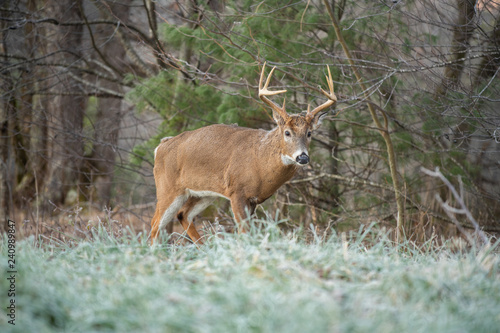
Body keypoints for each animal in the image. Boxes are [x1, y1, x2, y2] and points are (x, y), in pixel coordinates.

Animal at [148, 63, 336, 244]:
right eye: (287, 132)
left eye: (309, 133)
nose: (302, 157)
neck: (260, 163)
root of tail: (160, 146)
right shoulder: (237, 191)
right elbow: (244, 232)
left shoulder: (254, 199)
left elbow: (248, 233)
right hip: (167, 187)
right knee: (155, 224)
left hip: (204, 192)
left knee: (183, 214)